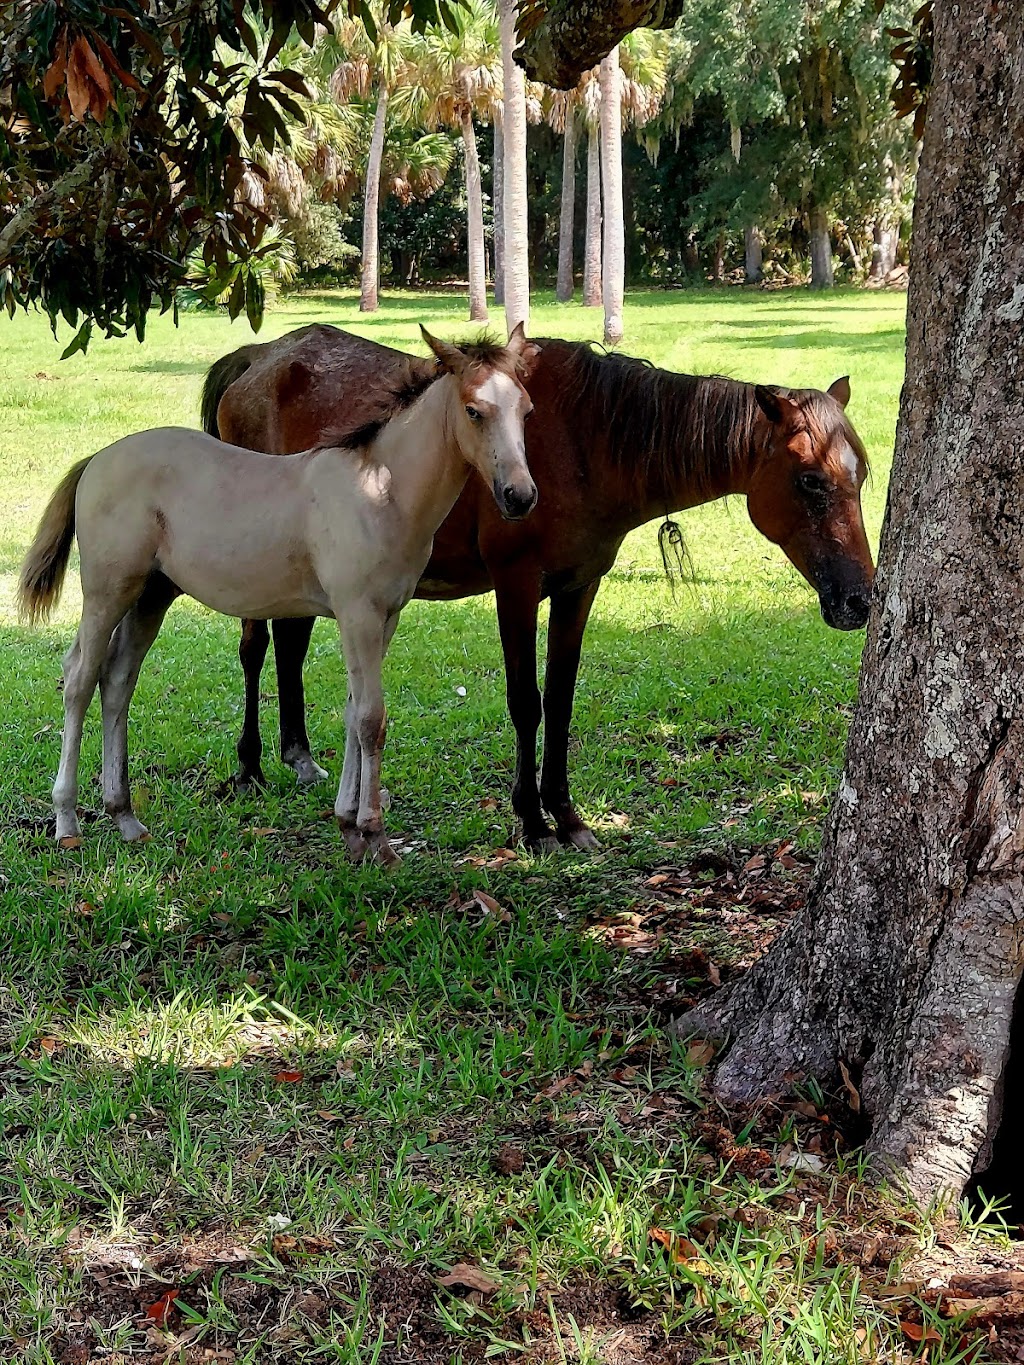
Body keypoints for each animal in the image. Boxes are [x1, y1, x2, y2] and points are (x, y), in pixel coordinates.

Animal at [20, 322, 540, 862]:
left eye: (526, 409)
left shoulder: (385, 617)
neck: (381, 490)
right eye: (474, 410)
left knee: (118, 679)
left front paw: (348, 825)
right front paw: (374, 836)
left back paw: (124, 816)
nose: (519, 497)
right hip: (107, 592)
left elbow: (353, 712)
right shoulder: (358, 614)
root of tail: (96, 459)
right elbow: (371, 719)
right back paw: (66, 820)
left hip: (151, 597)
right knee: (80, 678)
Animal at [202, 323, 884, 846]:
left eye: (863, 474)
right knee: (255, 650)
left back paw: (298, 755)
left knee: (289, 648)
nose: (860, 599)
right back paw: (250, 766)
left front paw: (566, 814)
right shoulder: (517, 584)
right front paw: (531, 822)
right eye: (810, 481)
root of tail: (260, 357)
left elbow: (559, 697)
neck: (588, 440)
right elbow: (525, 700)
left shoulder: (579, 586)